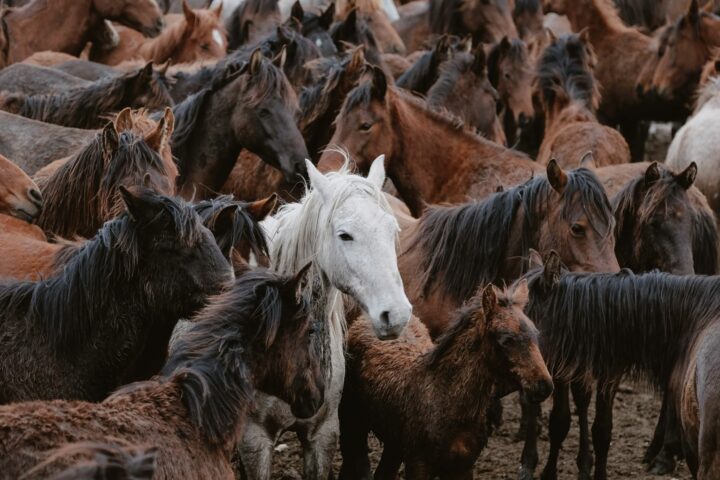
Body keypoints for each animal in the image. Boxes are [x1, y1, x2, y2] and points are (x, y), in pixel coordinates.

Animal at [339, 282, 553, 479]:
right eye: (506, 340)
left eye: (535, 334)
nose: (544, 386)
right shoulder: (418, 464)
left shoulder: (463, 467)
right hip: (354, 424)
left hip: (394, 444)